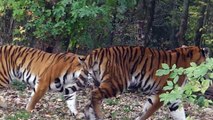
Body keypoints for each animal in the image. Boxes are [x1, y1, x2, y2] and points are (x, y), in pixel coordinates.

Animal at [76, 45, 208, 120]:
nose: (207, 49)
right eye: (202, 53)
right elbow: (147, 113)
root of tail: (100, 50)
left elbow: (179, 114)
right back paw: (100, 116)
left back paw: (90, 115)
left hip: (97, 81)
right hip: (117, 82)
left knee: (89, 102)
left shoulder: (173, 98)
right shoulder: (163, 94)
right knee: (95, 94)